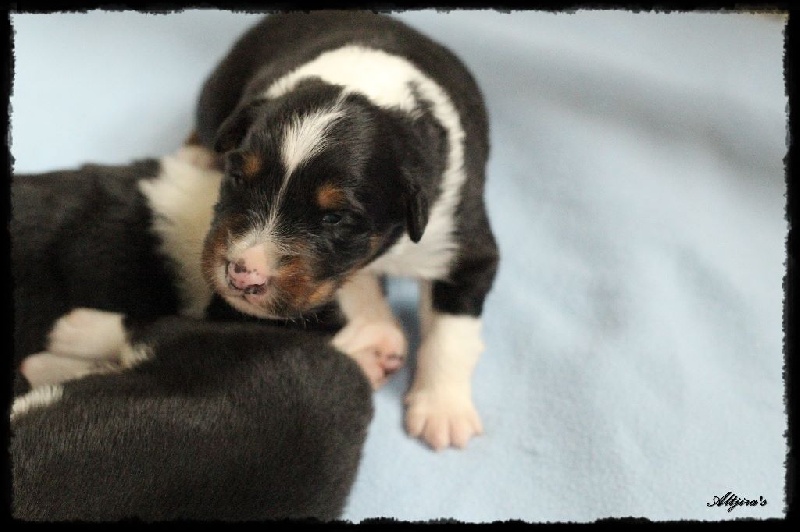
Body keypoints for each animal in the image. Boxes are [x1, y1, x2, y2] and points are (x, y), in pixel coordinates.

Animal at [190, 11, 499, 451]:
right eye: (237, 178)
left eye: (335, 218)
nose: (243, 276)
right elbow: (350, 285)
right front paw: (376, 338)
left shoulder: (464, 242)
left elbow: (451, 328)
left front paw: (443, 411)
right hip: (217, 90)